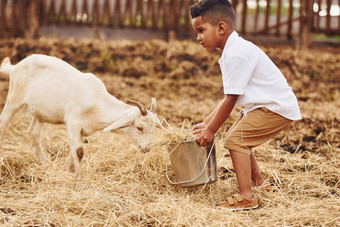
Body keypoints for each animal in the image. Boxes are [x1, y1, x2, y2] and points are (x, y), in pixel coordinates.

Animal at [0, 54, 162, 175]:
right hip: (14, 97)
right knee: (4, 123)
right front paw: (79, 176)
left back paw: (44, 162)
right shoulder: (73, 122)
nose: (146, 148)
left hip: (40, 113)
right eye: (139, 127)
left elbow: (74, 149)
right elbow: (78, 152)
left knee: (33, 133)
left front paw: (66, 170)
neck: (97, 101)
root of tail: (15, 67)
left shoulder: (84, 130)